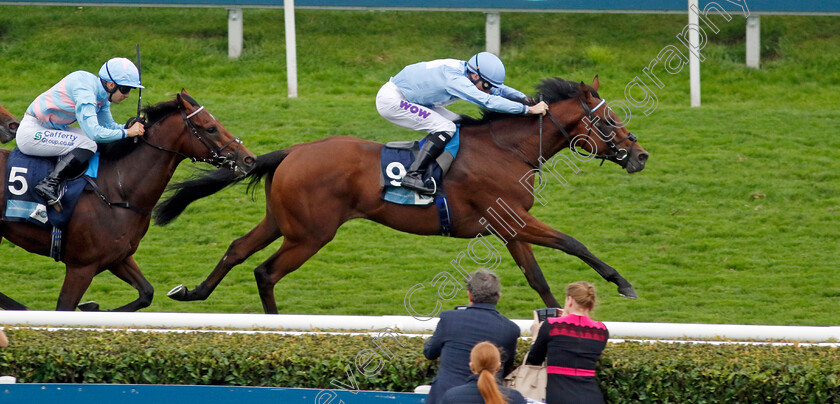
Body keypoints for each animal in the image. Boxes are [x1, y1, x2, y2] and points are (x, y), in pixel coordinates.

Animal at [0, 90, 256, 312]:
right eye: (211, 128)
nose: (249, 159)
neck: (117, 191)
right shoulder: (81, 267)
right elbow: (64, 308)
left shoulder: (118, 257)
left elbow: (146, 293)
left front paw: (94, 307)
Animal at [156, 77, 648, 314]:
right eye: (608, 121)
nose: (640, 155)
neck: (507, 150)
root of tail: (293, 150)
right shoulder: (515, 219)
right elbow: (572, 242)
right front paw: (622, 283)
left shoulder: (510, 229)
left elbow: (538, 278)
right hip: (311, 234)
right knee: (265, 272)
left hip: (282, 220)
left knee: (237, 249)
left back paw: (193, 293)